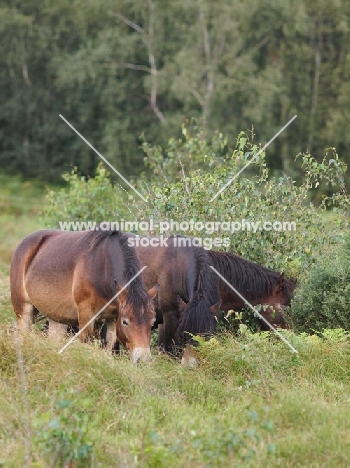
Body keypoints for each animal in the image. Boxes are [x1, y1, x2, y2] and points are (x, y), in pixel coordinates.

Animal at [10, 228, 159, 362]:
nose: (143, 360)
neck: (103, 268)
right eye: (125, 322)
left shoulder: (112, 318)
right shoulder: (86, 314)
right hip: (24, 313)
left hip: (56, 319)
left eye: (152, 323)